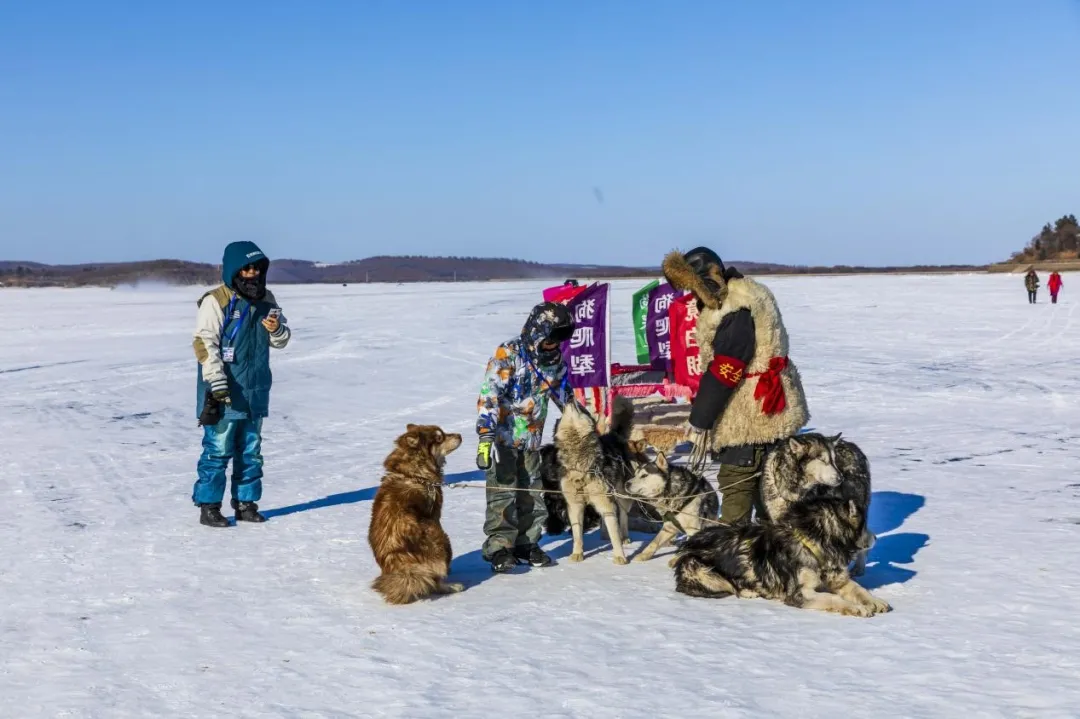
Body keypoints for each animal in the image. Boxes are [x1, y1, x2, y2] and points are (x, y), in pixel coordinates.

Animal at [369, 423, 462, 600]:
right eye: (439, 438)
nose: (460, 435)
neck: (415, 474)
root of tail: (404, 567)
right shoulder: (435, 514)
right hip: (441, 538)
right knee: (435, 580)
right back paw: (452, 586)